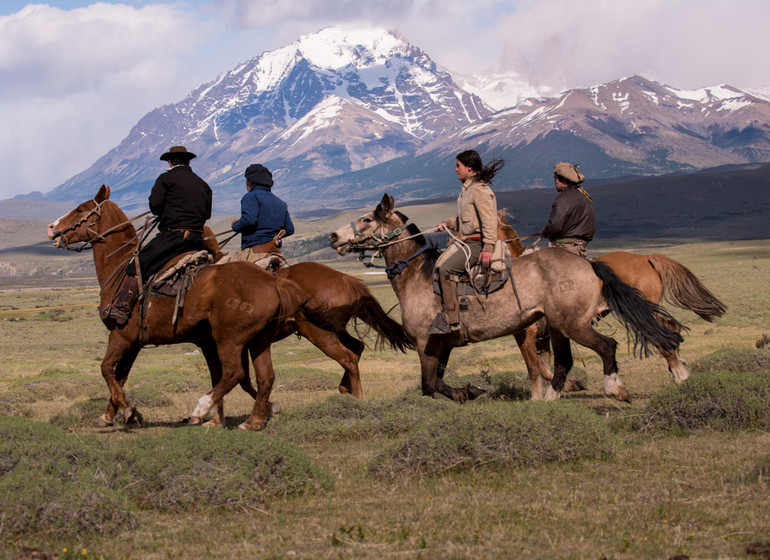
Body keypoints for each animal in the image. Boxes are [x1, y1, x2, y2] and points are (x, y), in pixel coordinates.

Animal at [45, 186, 306, 430]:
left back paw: (202, 407)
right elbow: (121, 375)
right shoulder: (136, 342)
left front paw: (127, 409)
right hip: (258, 340)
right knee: (264, 377)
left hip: (229, 339)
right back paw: (253, 420)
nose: (51, 228)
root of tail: (274, 280)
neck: (119, 265)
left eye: (80, 209)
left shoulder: (121, 335)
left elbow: (106, 368)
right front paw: (114, 414)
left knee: (235, 373)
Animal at [328, 194, 680, 402]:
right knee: (565, 361)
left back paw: (617, 388)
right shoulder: (443, 346)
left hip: (573, 325)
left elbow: (429, 387)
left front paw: (470, 391)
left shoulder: (426, 345)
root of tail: (589, 264)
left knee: (609, 346)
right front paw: (469, 391)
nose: (333, 236)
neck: (418, 277)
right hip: (559, 326)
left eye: (367, 220)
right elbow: (438, 384)